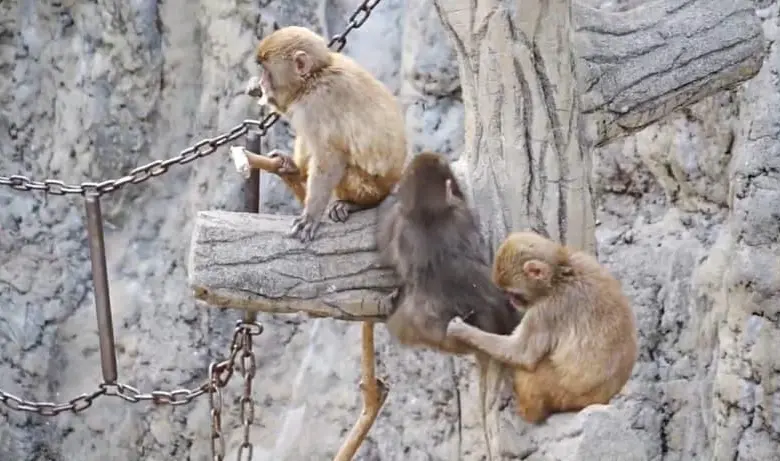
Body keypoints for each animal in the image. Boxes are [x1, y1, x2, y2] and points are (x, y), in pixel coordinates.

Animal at [246, 26, 407, 242]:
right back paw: (293, 169)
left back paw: (357, 204)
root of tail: (396, 181)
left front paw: (311, 215)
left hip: (372, 187)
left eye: (266, 70)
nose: (263, 82)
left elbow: (329, 157)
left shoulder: (318, 101)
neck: (316, 75)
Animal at [445, 231, 638, 424]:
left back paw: (528, 412)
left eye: (515, 293)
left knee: (532, 372)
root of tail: (604, 397)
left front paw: (461, 330)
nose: (512, 301)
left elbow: (522, 354)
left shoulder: (545, 311)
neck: (558, 275)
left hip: (562, 392)